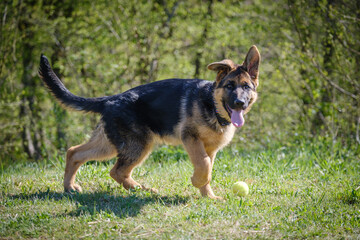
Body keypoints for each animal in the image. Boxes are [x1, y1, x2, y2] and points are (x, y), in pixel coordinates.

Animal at [38, 45, 260, 199]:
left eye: (246, 87)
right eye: (229, 86)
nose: (239, 103)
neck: (212, 104)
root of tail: (110, 99)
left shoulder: (210, 149)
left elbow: (208, 169)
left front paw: (209, 196)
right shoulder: (191, 138)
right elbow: (204, 165)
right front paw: (197, 181)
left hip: (110, 145)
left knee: (75, 152)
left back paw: (69, 187)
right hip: (139, 145)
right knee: (116, 170)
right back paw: (140, 189)